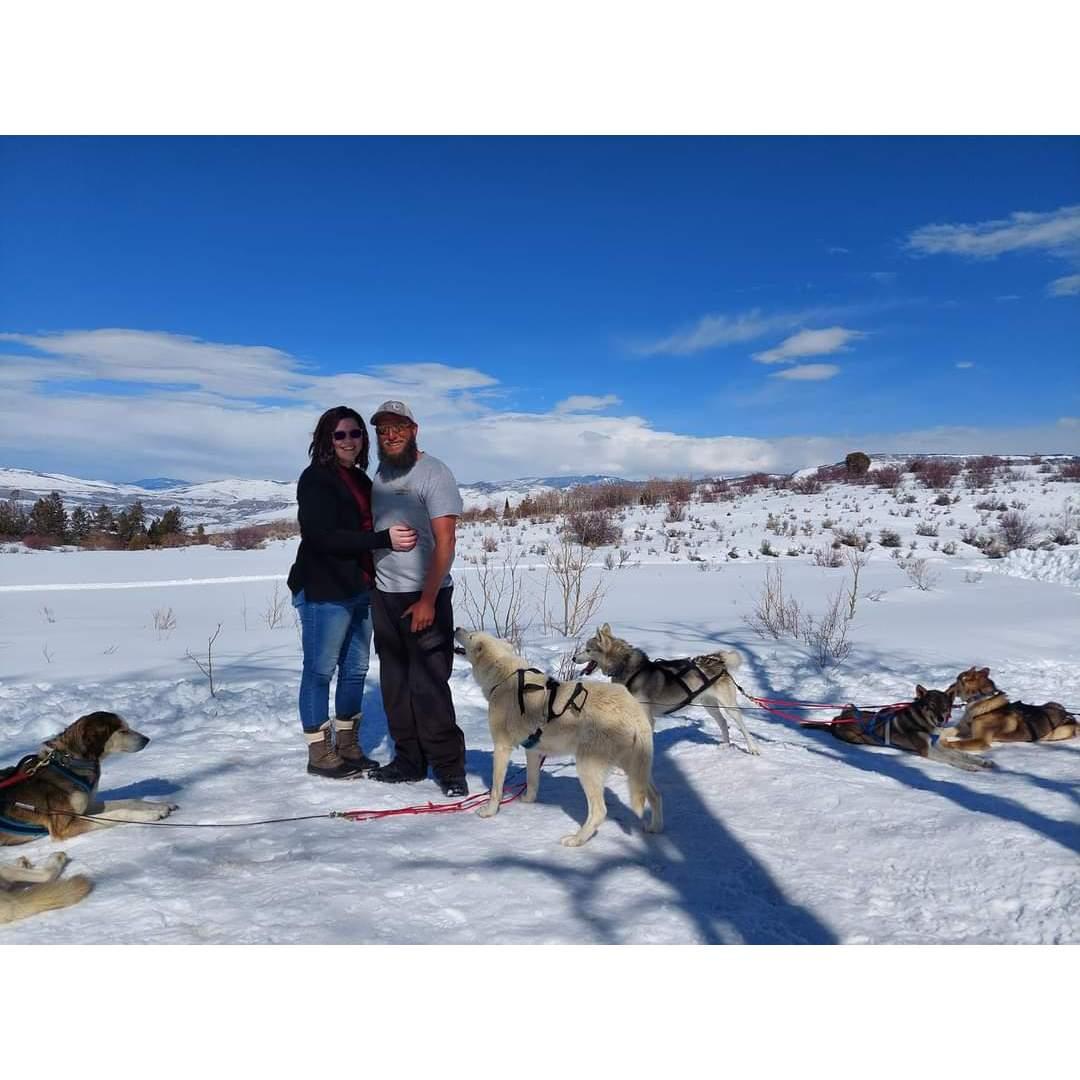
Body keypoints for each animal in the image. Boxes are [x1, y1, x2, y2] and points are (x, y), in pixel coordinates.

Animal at [453, 630, 660, 846]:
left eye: (470, 635)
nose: (457, 628)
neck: (504, 676)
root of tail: (633, 708)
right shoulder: (533, 751)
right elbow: (532, 781)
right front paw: (528, 800)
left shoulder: (502, 747)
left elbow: (496, 788)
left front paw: (490, 811)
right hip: (633, 767)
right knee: (656, 795)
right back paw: (655, 827)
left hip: (588, 767)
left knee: (599, 812)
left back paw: (576, 839)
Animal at [574, 622, 760, 756]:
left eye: (588, 650)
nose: (573, 658)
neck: (628, 668)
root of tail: (716, 659)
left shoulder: (646, 718)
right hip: (709, 705)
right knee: (723, 723)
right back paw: (725, 746)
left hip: (729, 707)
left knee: (742, 727)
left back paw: (753, 748)